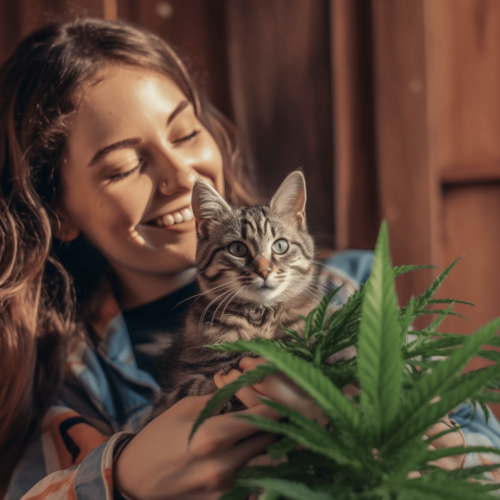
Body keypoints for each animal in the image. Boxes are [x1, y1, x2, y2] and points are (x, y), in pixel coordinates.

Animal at [150, 172, 324, 418]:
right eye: (237, 249)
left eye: (280, 246)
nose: (264, 271)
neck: (260, 316)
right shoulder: (172, 394)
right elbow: (203, 385)